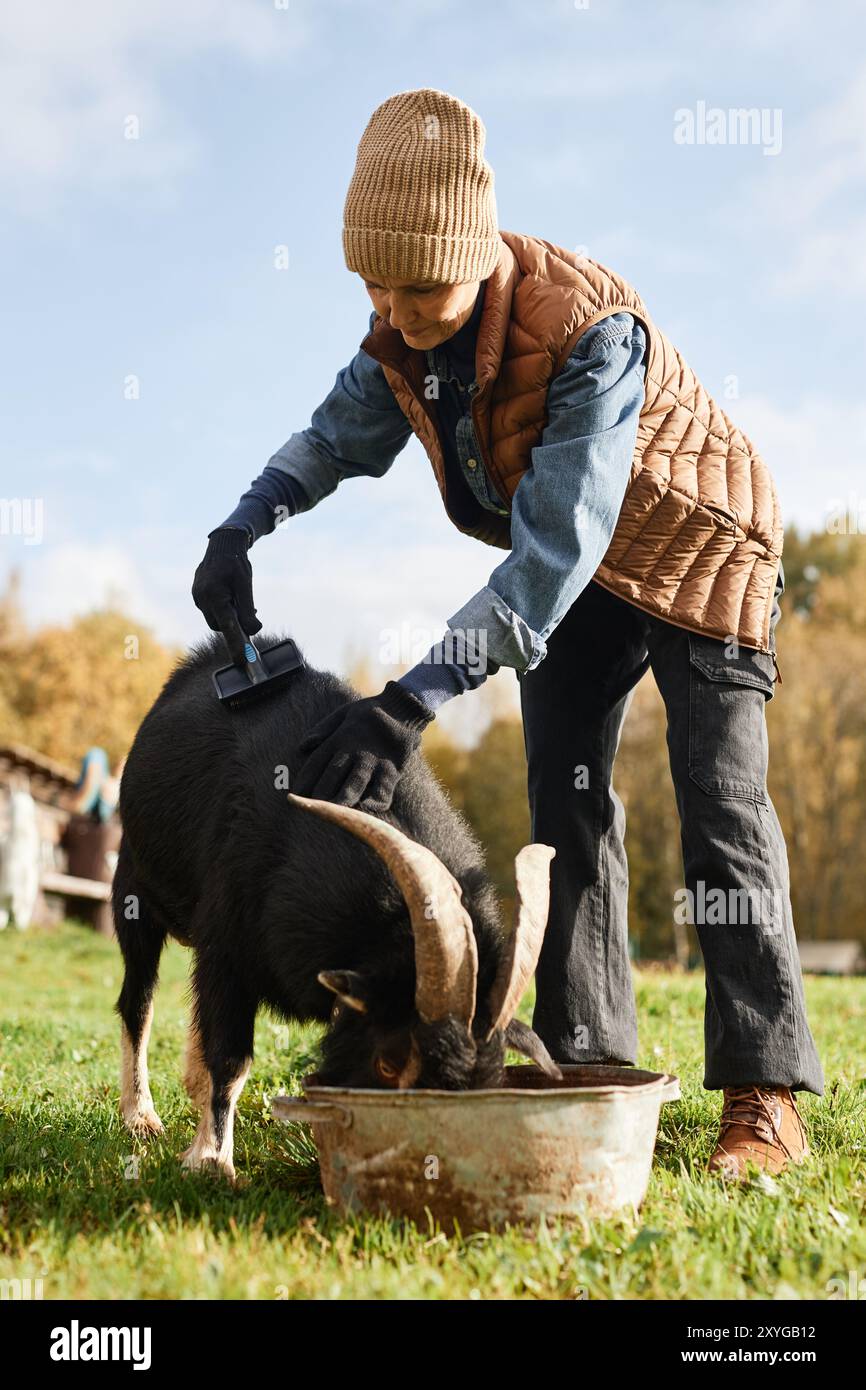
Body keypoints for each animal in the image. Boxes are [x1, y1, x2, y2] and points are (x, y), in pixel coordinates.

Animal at [114, 634, 559, 1179]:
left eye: (489, 1081)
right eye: (388, 1062)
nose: (424, 1163)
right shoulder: (226, 950)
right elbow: (230, 1058)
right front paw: (212, 1161)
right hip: (132, 888)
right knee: (136, 1002)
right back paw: (140, 1117)